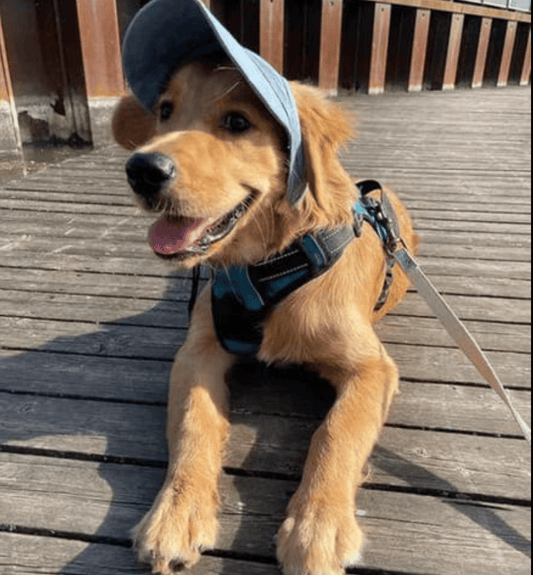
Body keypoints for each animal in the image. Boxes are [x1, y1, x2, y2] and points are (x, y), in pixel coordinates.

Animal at [113, 11, 420, 572]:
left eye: (237, 123)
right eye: (166, 111)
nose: (142, 170)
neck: (268, 266)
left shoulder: (372, 368)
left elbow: (337, 431)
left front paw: (318, 528)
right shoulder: (199, 350)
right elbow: (194, 422)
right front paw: (176, 512)